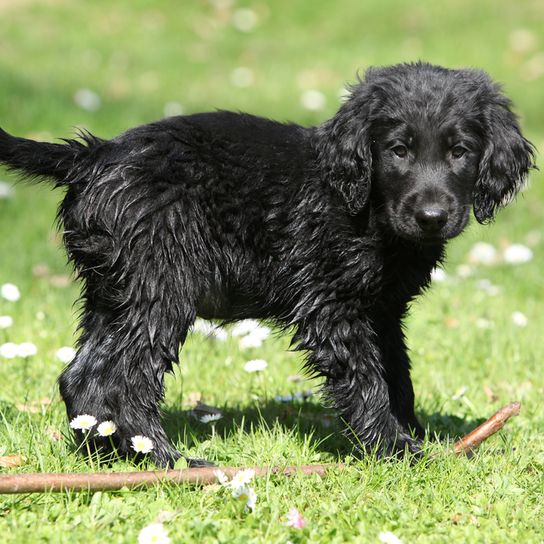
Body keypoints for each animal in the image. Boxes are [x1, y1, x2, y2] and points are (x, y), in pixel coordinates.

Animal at [0, 61, 532, 466]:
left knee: (79, 376)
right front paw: (395, 450)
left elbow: (397, 375)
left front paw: (414, 434)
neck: (363, 205)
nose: (432, 217)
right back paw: (164, 460)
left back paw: (108, 455)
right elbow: (366, 379)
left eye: (460, 151)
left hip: (114, 289)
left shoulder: (382, 309)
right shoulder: (332, 307)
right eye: (398, 150)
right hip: (159, 288)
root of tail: (94, 155)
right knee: (113, 376)